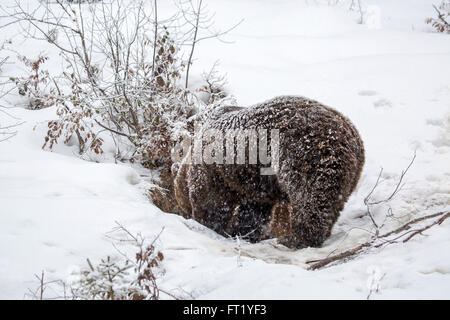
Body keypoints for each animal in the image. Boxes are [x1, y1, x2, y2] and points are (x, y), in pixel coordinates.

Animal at [171, 96, 364, 249]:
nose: (184, 212)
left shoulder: (214, 170)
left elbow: (212, 203)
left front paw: (213, 227)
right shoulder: (254, 184)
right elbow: (253, 212)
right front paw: (242, 232)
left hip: (302, 155)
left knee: (309, 197)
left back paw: (294, 238)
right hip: (349, 172)